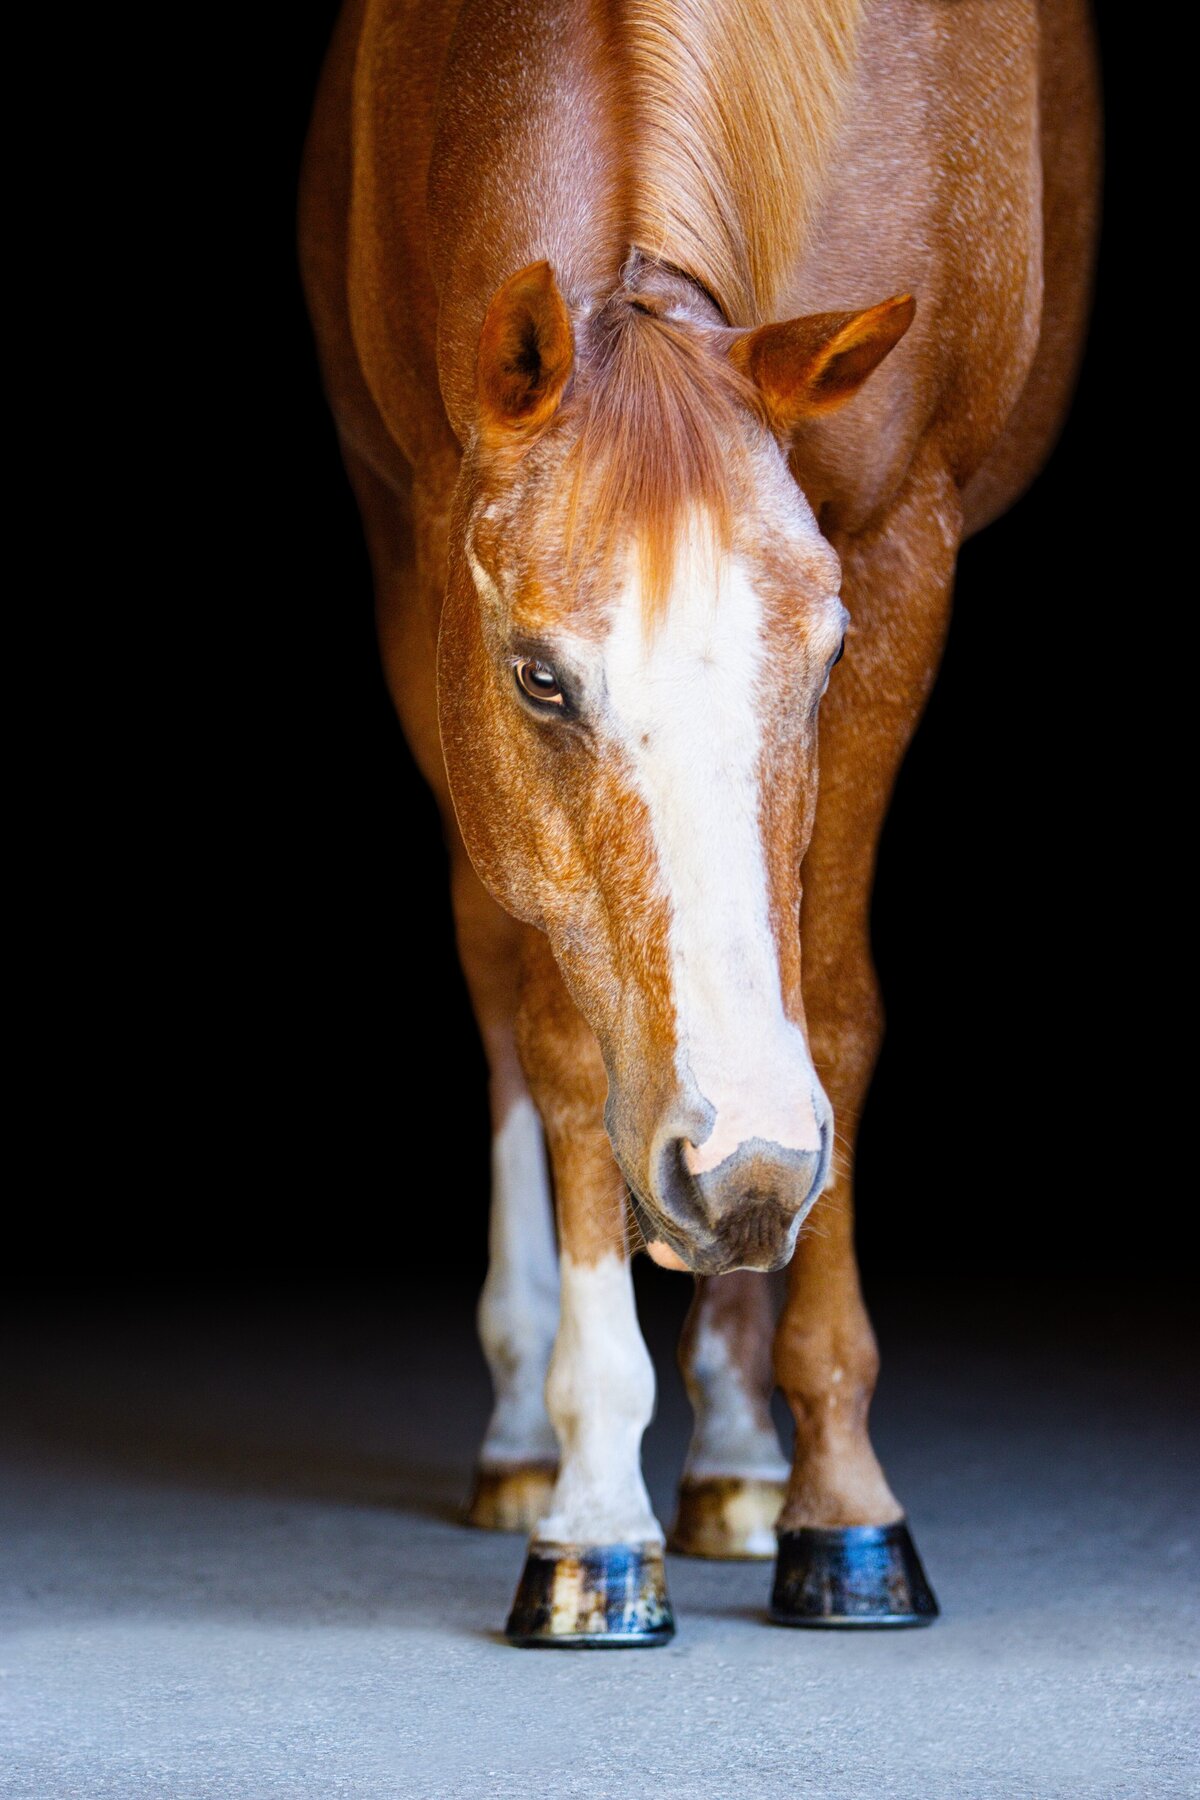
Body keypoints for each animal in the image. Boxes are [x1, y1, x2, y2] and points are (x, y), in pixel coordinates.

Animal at [300, 0, 1099, 1643]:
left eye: (827, 657)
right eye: (540, 677)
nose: (747, 1170)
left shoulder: (902, 554)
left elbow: (834, 1008)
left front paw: (844, 1503)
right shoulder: (426, 562)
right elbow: (556, 1039)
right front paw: (596, 1509)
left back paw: (740, 1453)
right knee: (504, 994)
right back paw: (531, 1439)